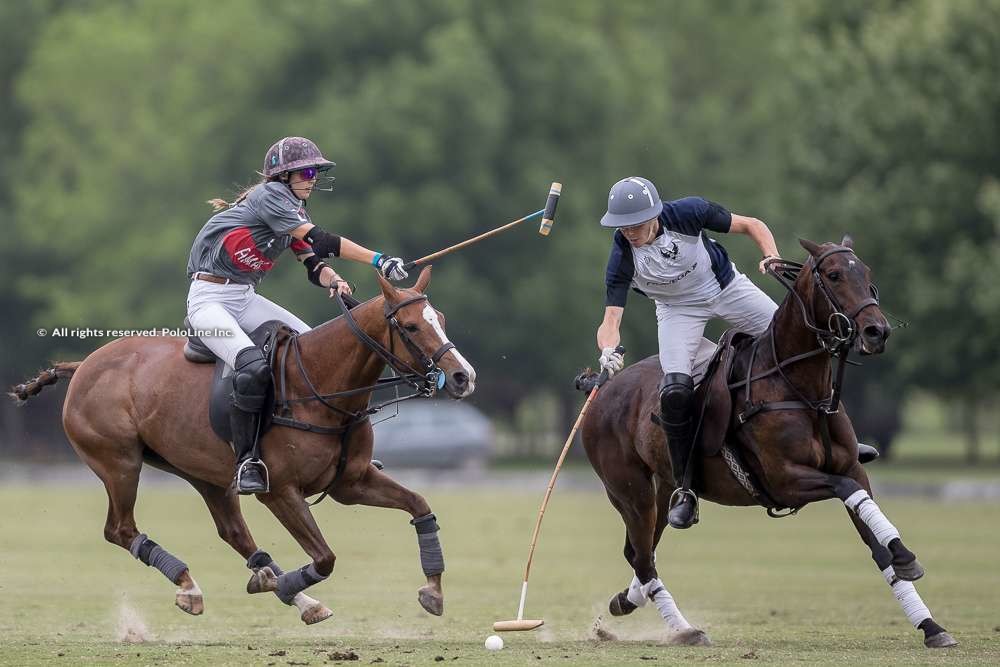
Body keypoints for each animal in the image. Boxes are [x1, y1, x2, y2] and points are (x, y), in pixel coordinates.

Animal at [9, 266, 474, 628]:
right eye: (411, 327)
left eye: (442, 318)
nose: (462, 377)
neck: (321, 385)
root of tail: (84, 364)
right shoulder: (280, 491)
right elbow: (325, 557)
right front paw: (286, 585)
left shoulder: (353, 482)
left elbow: (419, 505)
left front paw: (433, 590)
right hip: (119, 463)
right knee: (120, 529)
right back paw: (196, 585)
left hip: (203, 473)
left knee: (232, 532)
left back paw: (282, 591)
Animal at [584, 239, 956, 648]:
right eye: (834, 275)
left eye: (867, 273)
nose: (877, 331)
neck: (801, 389)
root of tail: (601, 387)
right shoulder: (785, 480)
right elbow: (847, 490)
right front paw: (906, 559)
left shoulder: (853, 467)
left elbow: (875, 539)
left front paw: (929, 621)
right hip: (629, 491)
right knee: (642, 556)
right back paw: (685, 629)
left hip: (665, 486)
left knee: (641, 550)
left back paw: (627, 599)